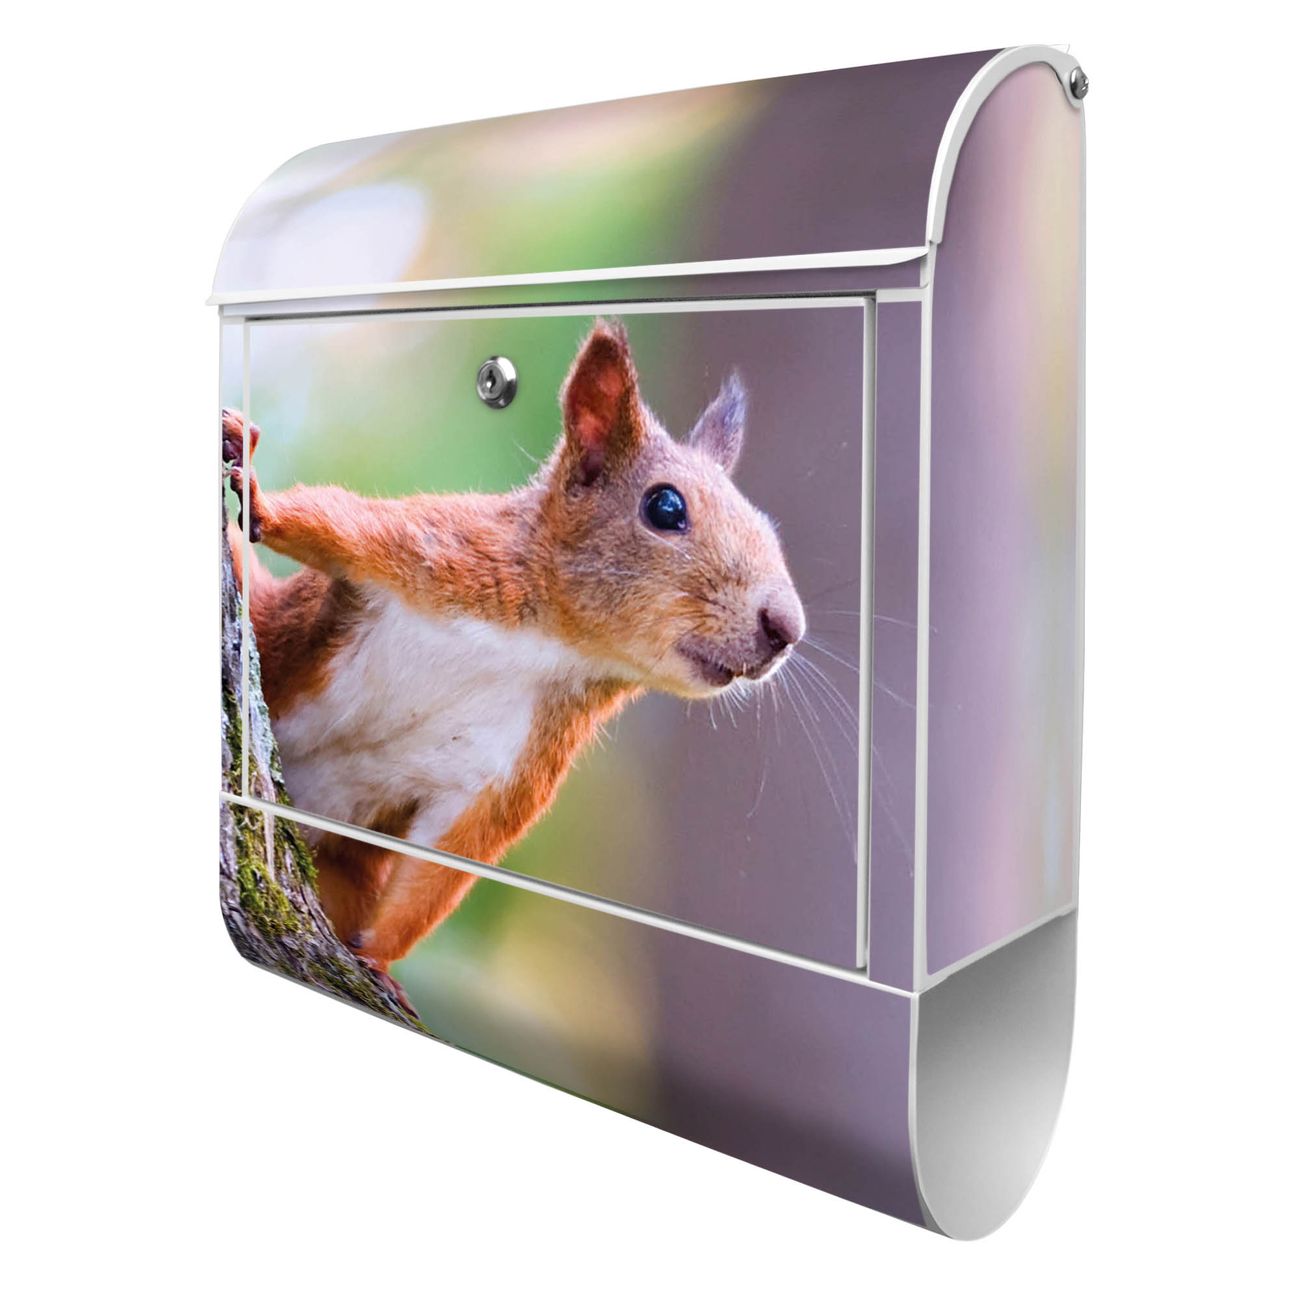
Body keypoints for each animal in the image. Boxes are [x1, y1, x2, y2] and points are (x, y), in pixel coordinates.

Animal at [223, 321, 805, 982]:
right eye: (665, 506)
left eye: (770, 527)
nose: (786, 627)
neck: (548, 646)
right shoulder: (435, 552)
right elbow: (330, 523)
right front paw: (261, 499)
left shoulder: (514, 763)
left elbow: (446, 861)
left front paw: (375, 959)